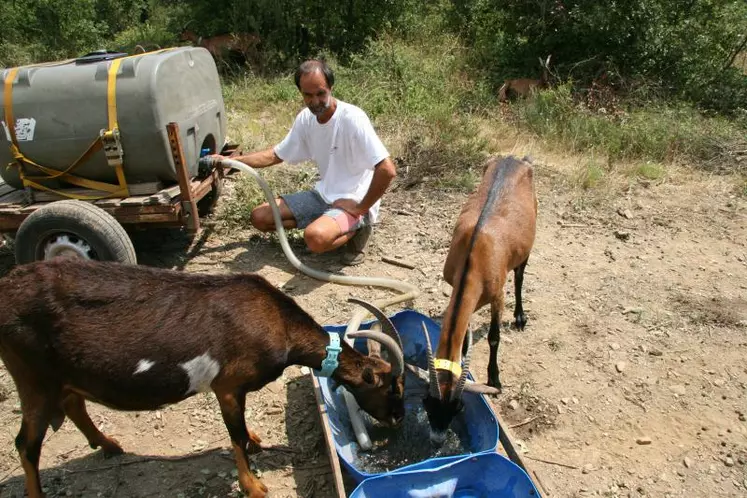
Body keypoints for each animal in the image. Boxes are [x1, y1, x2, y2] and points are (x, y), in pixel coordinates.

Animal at [0, 258, 406, 496]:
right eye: (392, 387)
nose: (399, 419)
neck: (279, 324)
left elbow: (243, 430)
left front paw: (257, 441)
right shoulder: (227, 386)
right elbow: (235, 435)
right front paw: (254, 485)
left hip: (62, 373)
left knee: (73, 402)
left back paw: (108, 444)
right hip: (33, 378)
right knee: (26, 444)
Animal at [420, 156, 536, 444]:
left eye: (458, 407)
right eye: (427, 403)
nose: (438, 439)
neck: (474, 252)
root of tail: (516, 159)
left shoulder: (497, 296)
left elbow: (494, 337)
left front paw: (495, 380)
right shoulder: (459, 290)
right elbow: (463, 341)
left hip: (528, 241)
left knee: (520, 274)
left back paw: (520, 317)